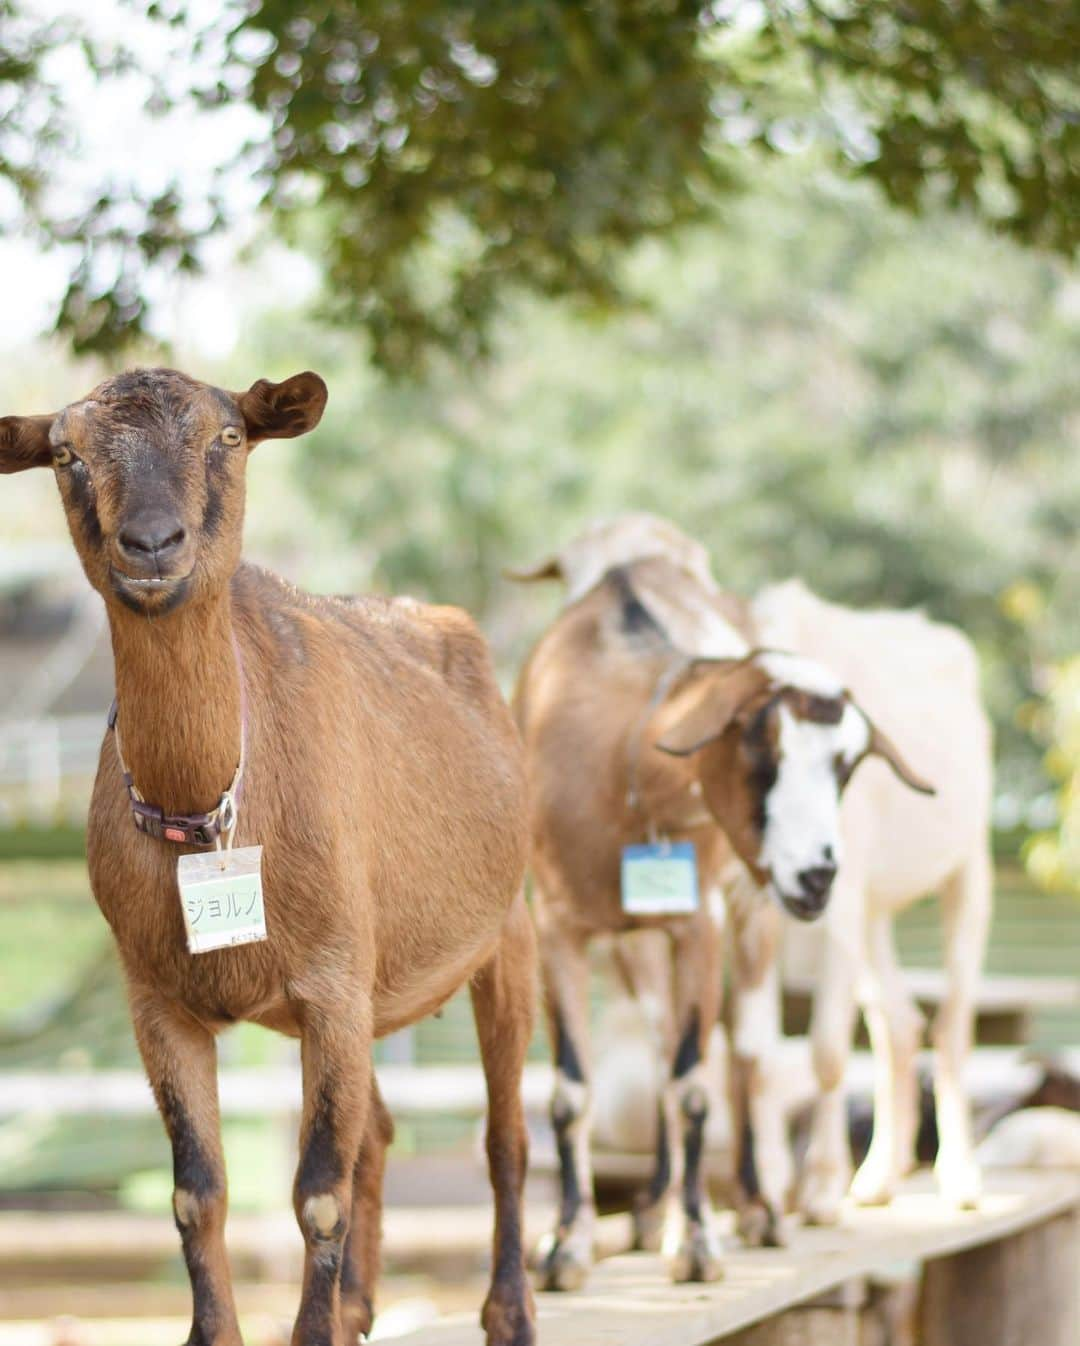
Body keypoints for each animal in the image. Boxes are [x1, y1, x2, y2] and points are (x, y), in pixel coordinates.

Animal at [0, 374, 535, 1346]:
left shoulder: (331, 982)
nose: (152, 544)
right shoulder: (159, 1001)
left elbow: (317, 1192)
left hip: (506, 929)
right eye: (65, 453)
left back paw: (508, 1310)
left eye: (227, 435)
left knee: (505, 1134)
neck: (207, 810)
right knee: (380, 1132)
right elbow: (196, 1193)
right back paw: (360, 1305)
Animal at [511, 511, 926, 1281]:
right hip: (641, 934)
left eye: (848, 766)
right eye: (759, 745)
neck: (619, 768)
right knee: (659, 1044)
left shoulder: (698, 921)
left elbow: (695, 1085)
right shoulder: (555, 925)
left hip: (749, 909)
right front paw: (566, 1243)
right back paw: (653, 1208)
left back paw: (753, 1209)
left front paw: (699, 1240)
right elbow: (573, 1092)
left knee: (746, 1056)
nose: (819, 876)